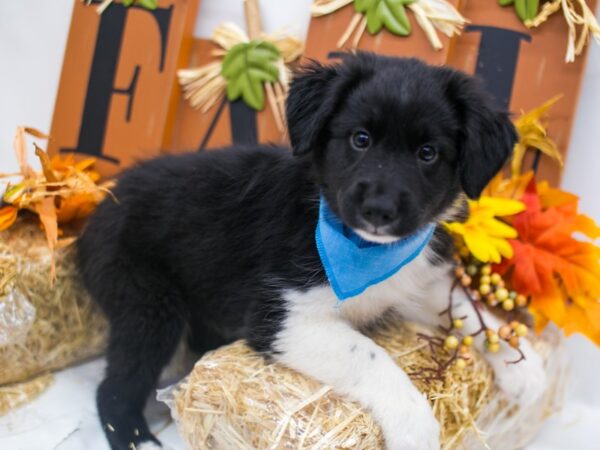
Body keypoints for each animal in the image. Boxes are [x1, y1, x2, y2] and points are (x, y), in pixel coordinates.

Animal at [77, 53, 548, 450]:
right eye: (360, 139)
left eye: (427, 153)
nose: (379, 209)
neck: (363, 249)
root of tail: (101, 204)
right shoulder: (282, 318)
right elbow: (371, 357)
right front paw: (415, 424)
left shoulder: (415, 279)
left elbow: (468, 311)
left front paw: (521, 367)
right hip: (147, 301)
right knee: (113, 387)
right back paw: (134, 436)